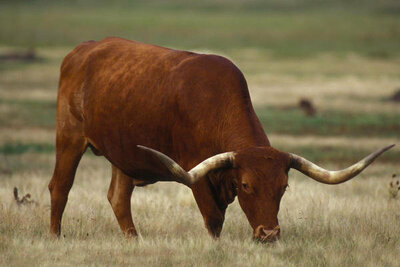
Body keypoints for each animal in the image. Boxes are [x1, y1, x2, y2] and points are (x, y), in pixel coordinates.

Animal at [48, 37, 392, 243]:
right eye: (246, 185)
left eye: (283, 187)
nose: (269, 233)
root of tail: (82, 49)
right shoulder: (196, 172)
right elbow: (213, 219)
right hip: (69, 137)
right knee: (60, 187)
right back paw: (55, 237)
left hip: (121, 152)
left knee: (119, 198)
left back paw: (135, 241)